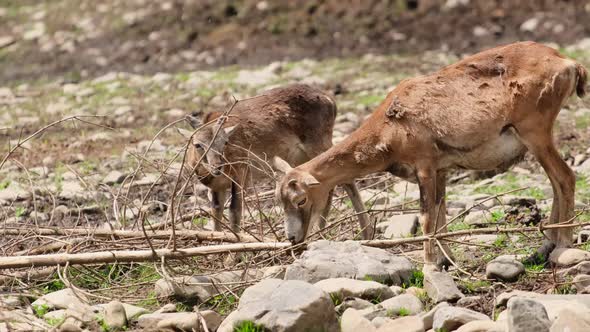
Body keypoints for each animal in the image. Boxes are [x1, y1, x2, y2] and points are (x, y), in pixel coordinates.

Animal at [183, 83, 372, 239]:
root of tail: (331, 101)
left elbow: (235, 210)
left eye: (225, 142)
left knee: (345, 179)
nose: (217, 167)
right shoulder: (216, 187)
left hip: (319, 143)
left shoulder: (241, 171)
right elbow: (216, 211)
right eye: (197, 144)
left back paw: (364, 233)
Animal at [276, 42, 588, 270]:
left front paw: (428, 264)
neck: (389, 128)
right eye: (281, 202)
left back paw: (563, 244)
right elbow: (440, 214)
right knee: (556, 182)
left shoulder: (424, 165)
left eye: (300, 199)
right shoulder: (442, 170)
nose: (293, 239)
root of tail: (568, 63)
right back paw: (545, 245)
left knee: (565, 177)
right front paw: (445, 259)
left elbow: (426, 216)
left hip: (535, 132)